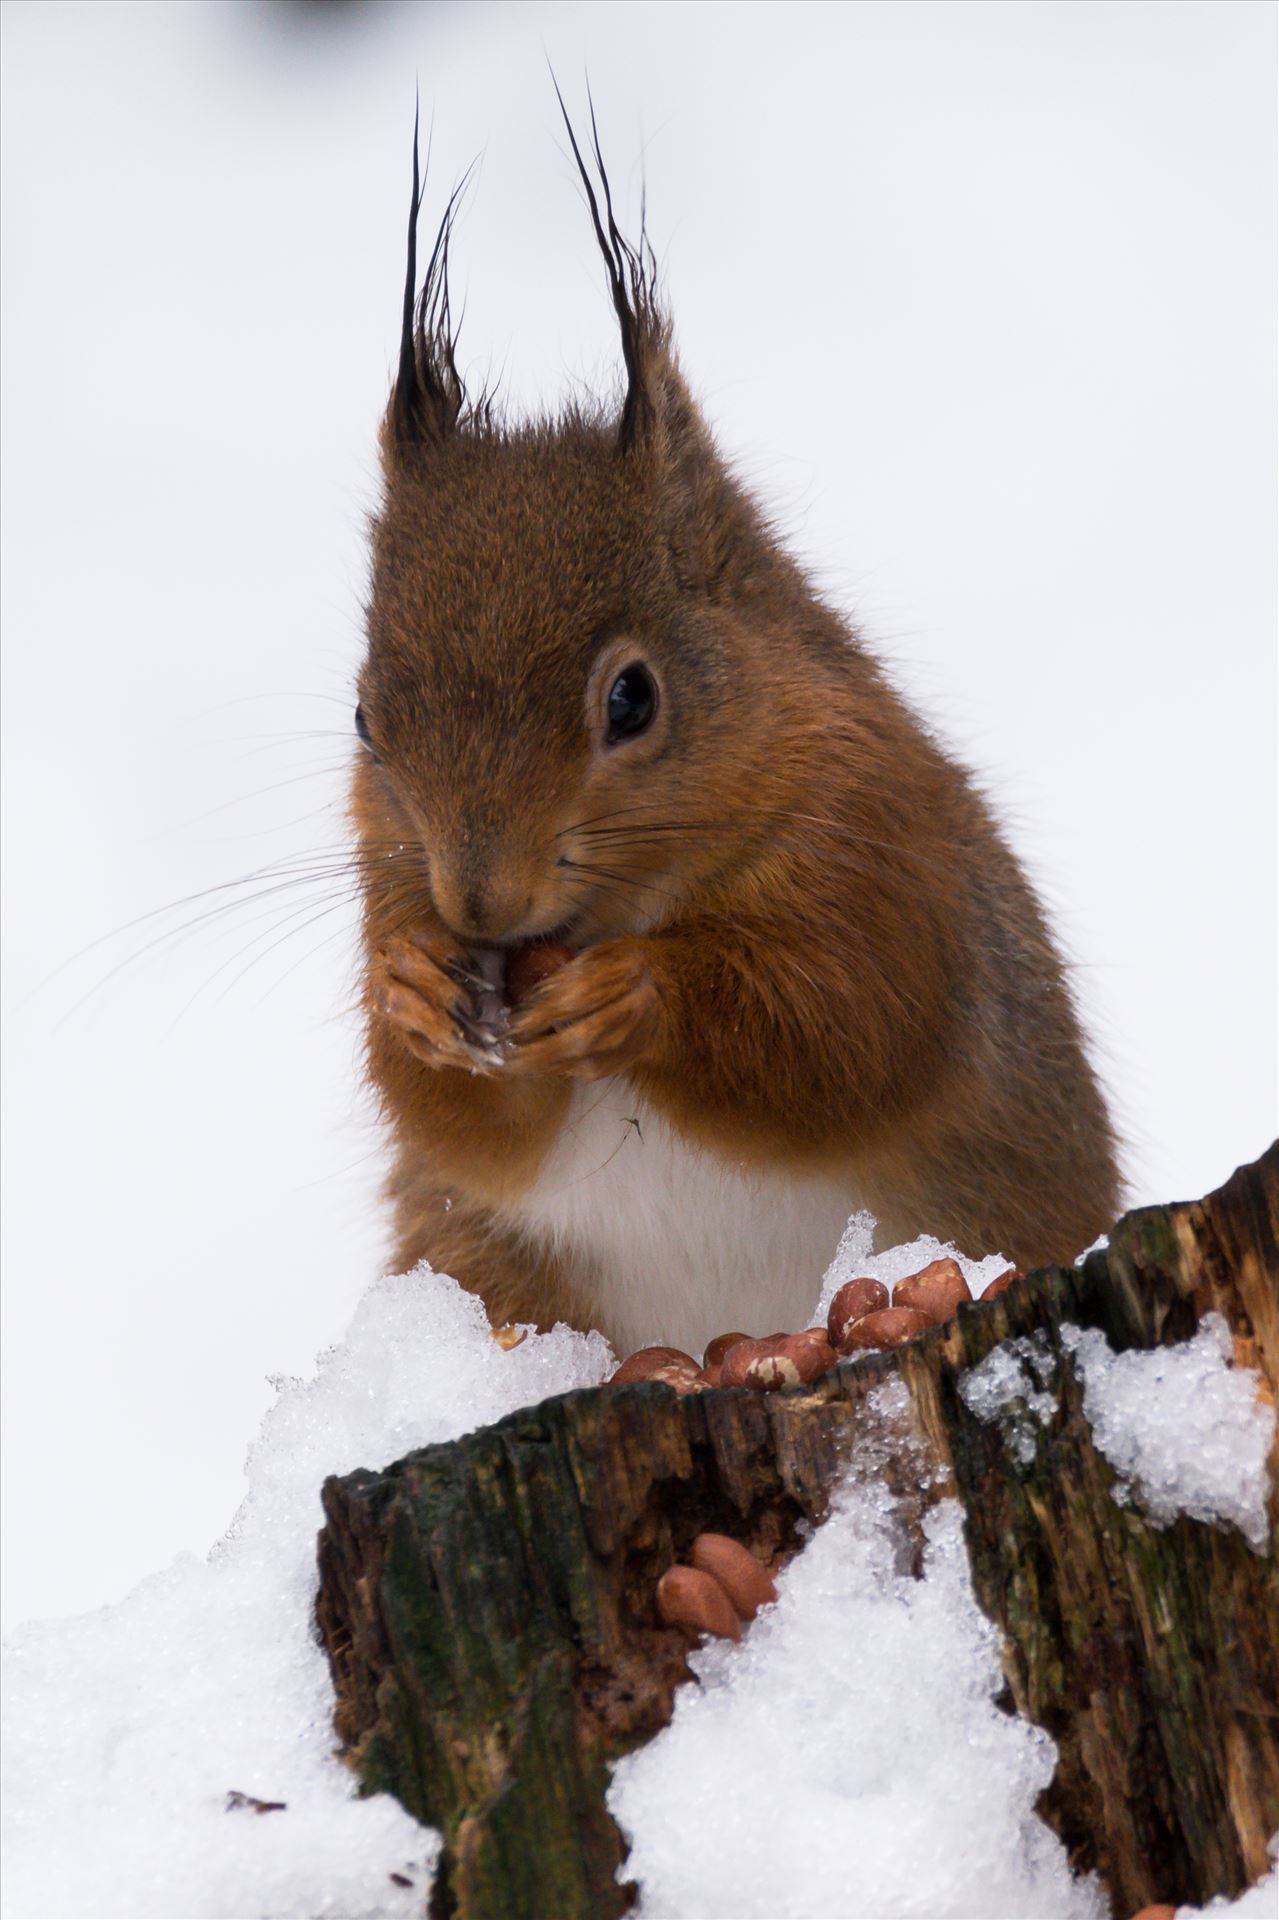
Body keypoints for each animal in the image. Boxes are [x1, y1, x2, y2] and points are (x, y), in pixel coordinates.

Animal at [351, 112, 1113, 1359]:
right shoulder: (388, 885)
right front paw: (409, 988)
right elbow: (465, 1130)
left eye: (632, 699)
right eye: (364, 718)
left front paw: (635, 999)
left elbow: (844, 1027)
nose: (477, 904)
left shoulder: (882, 845)